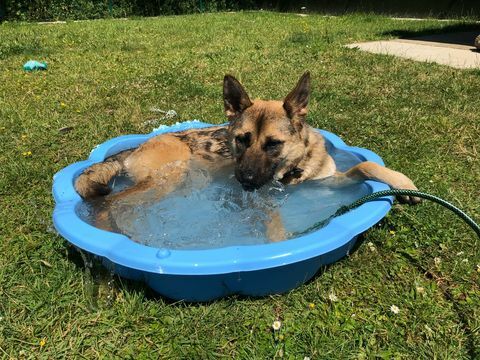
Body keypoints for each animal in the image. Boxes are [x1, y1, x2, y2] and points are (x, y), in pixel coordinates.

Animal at [76, 72, 420, 240]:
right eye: (242, 139)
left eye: (273, 143)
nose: (244, 180)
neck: (292, 170)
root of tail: (136, 147)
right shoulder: (263, 201)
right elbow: (274, 222)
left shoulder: (328, 180)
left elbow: (366, 164)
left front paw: (403, 183)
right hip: (171, 178)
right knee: (110, 203)